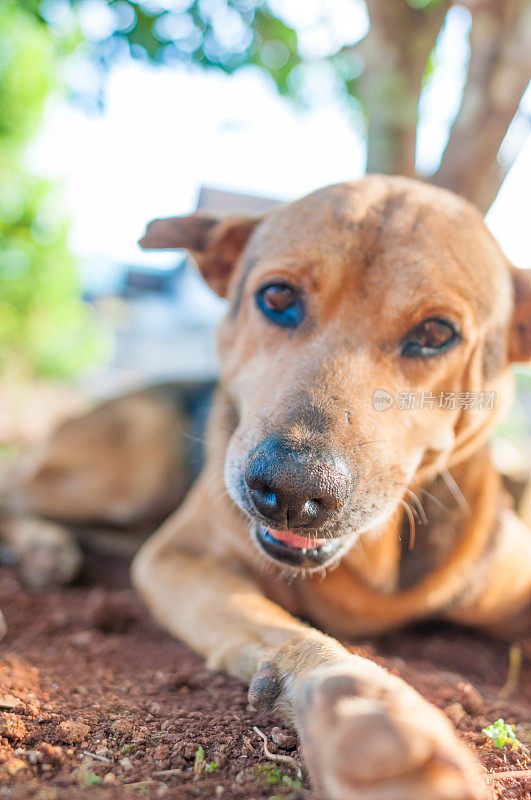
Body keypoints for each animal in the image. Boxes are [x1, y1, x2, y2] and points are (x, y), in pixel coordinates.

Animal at [131, 177, 528, 800]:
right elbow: (295, 638)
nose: (292, 489)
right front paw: (375, 720)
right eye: (276, 298)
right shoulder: (179, 555)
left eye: (437, 333)